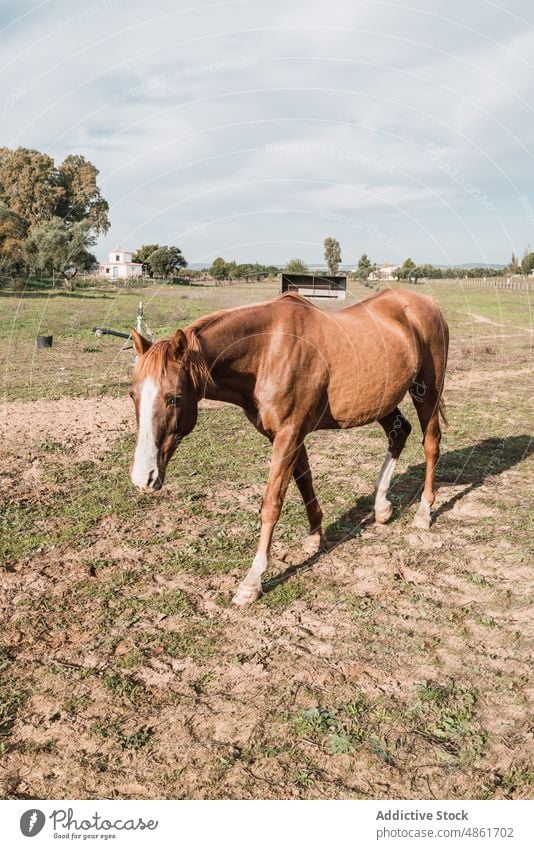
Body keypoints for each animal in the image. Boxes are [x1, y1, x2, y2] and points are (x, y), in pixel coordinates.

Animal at [129, 290, 448, 604]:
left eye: (174, 398)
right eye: (133, 394)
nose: (143, 477)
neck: (267, 350)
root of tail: (425, 303)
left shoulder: (289, 434)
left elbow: (272, 503)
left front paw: (252, 581)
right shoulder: (286, 435)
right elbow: (304, 481)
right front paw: (315, 536)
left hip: (426, 393)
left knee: (431, 444)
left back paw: (424, 512)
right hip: (381, 401)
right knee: (399, 433)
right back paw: (381, 507)